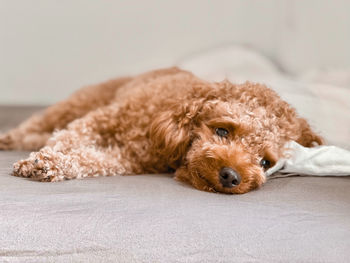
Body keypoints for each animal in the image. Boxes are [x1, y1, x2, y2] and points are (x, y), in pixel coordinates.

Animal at [0, 68, 322, 194]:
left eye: (265, 162)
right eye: (222, 131)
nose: (231, 177)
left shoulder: (128, 161)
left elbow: (90, 161)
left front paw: (53, 164)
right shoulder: (102, 118)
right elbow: (67, 137)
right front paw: (41, 160)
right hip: (77, 103)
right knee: (38, 124)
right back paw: (9, 139)